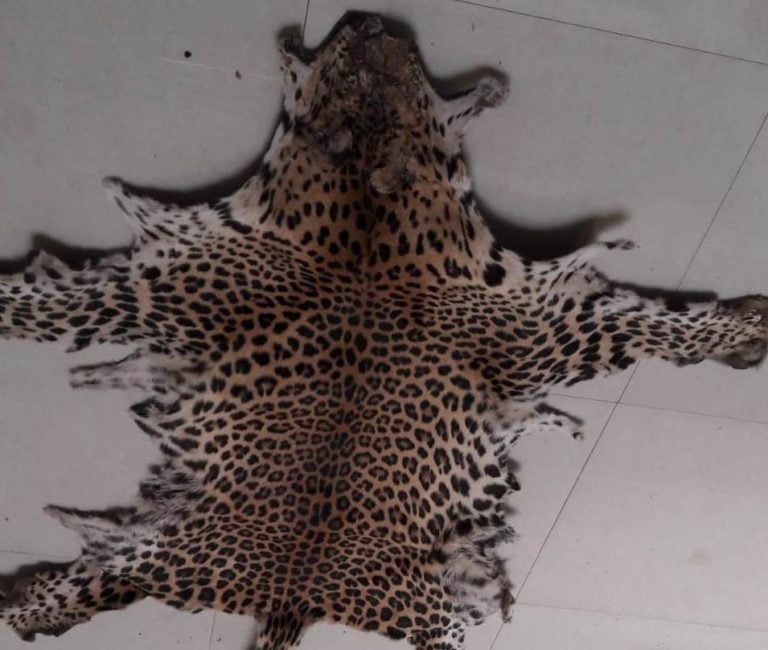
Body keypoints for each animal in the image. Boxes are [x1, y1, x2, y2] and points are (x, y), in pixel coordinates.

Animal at [1, 14, 767, 650]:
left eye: (408, 81)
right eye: (342, 73)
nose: (374, 24)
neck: (367, 218)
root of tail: (293, 599)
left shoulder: (537, 321)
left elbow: (653, 328)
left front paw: (744, 330)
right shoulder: (162, 283)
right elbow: (39, 309)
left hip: (409, 602)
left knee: (104, 574)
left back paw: (24, 607)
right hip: (164, 552)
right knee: (97, 578)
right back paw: (28, 607)